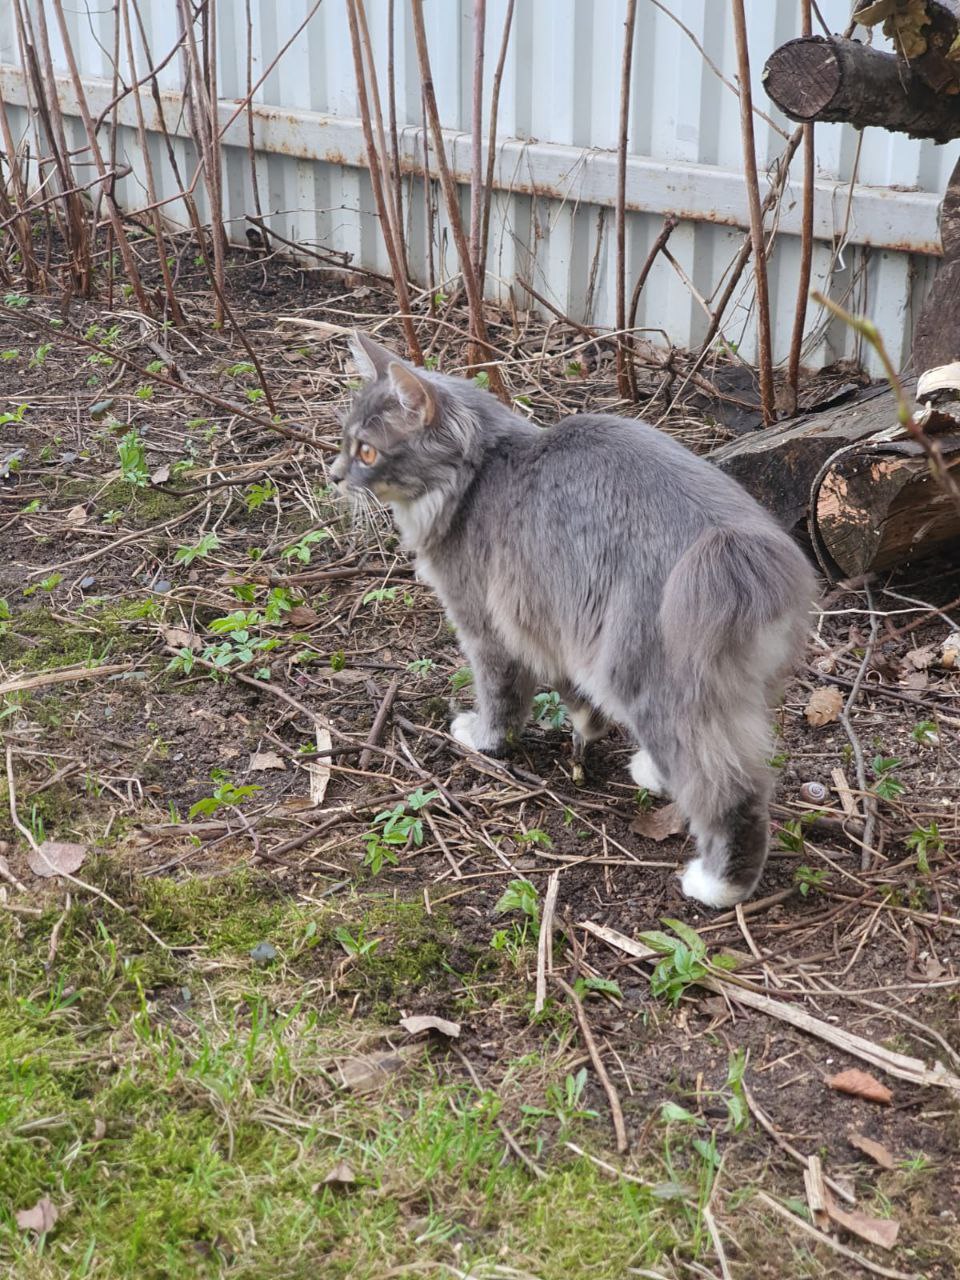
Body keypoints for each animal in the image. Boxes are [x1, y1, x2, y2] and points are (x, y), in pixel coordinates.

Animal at [335, 332, 814, 911]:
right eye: (344, 442)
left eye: (366, 451)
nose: (334, 475)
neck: (478, 475)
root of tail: (730, 545)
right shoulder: (558, 622)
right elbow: (575, 695)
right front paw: (587, 727)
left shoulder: (488, 626)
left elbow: (501, 697)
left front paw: (484, 737)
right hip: (725, 686)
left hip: (646, 678)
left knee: (729, 788)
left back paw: (720, 884)